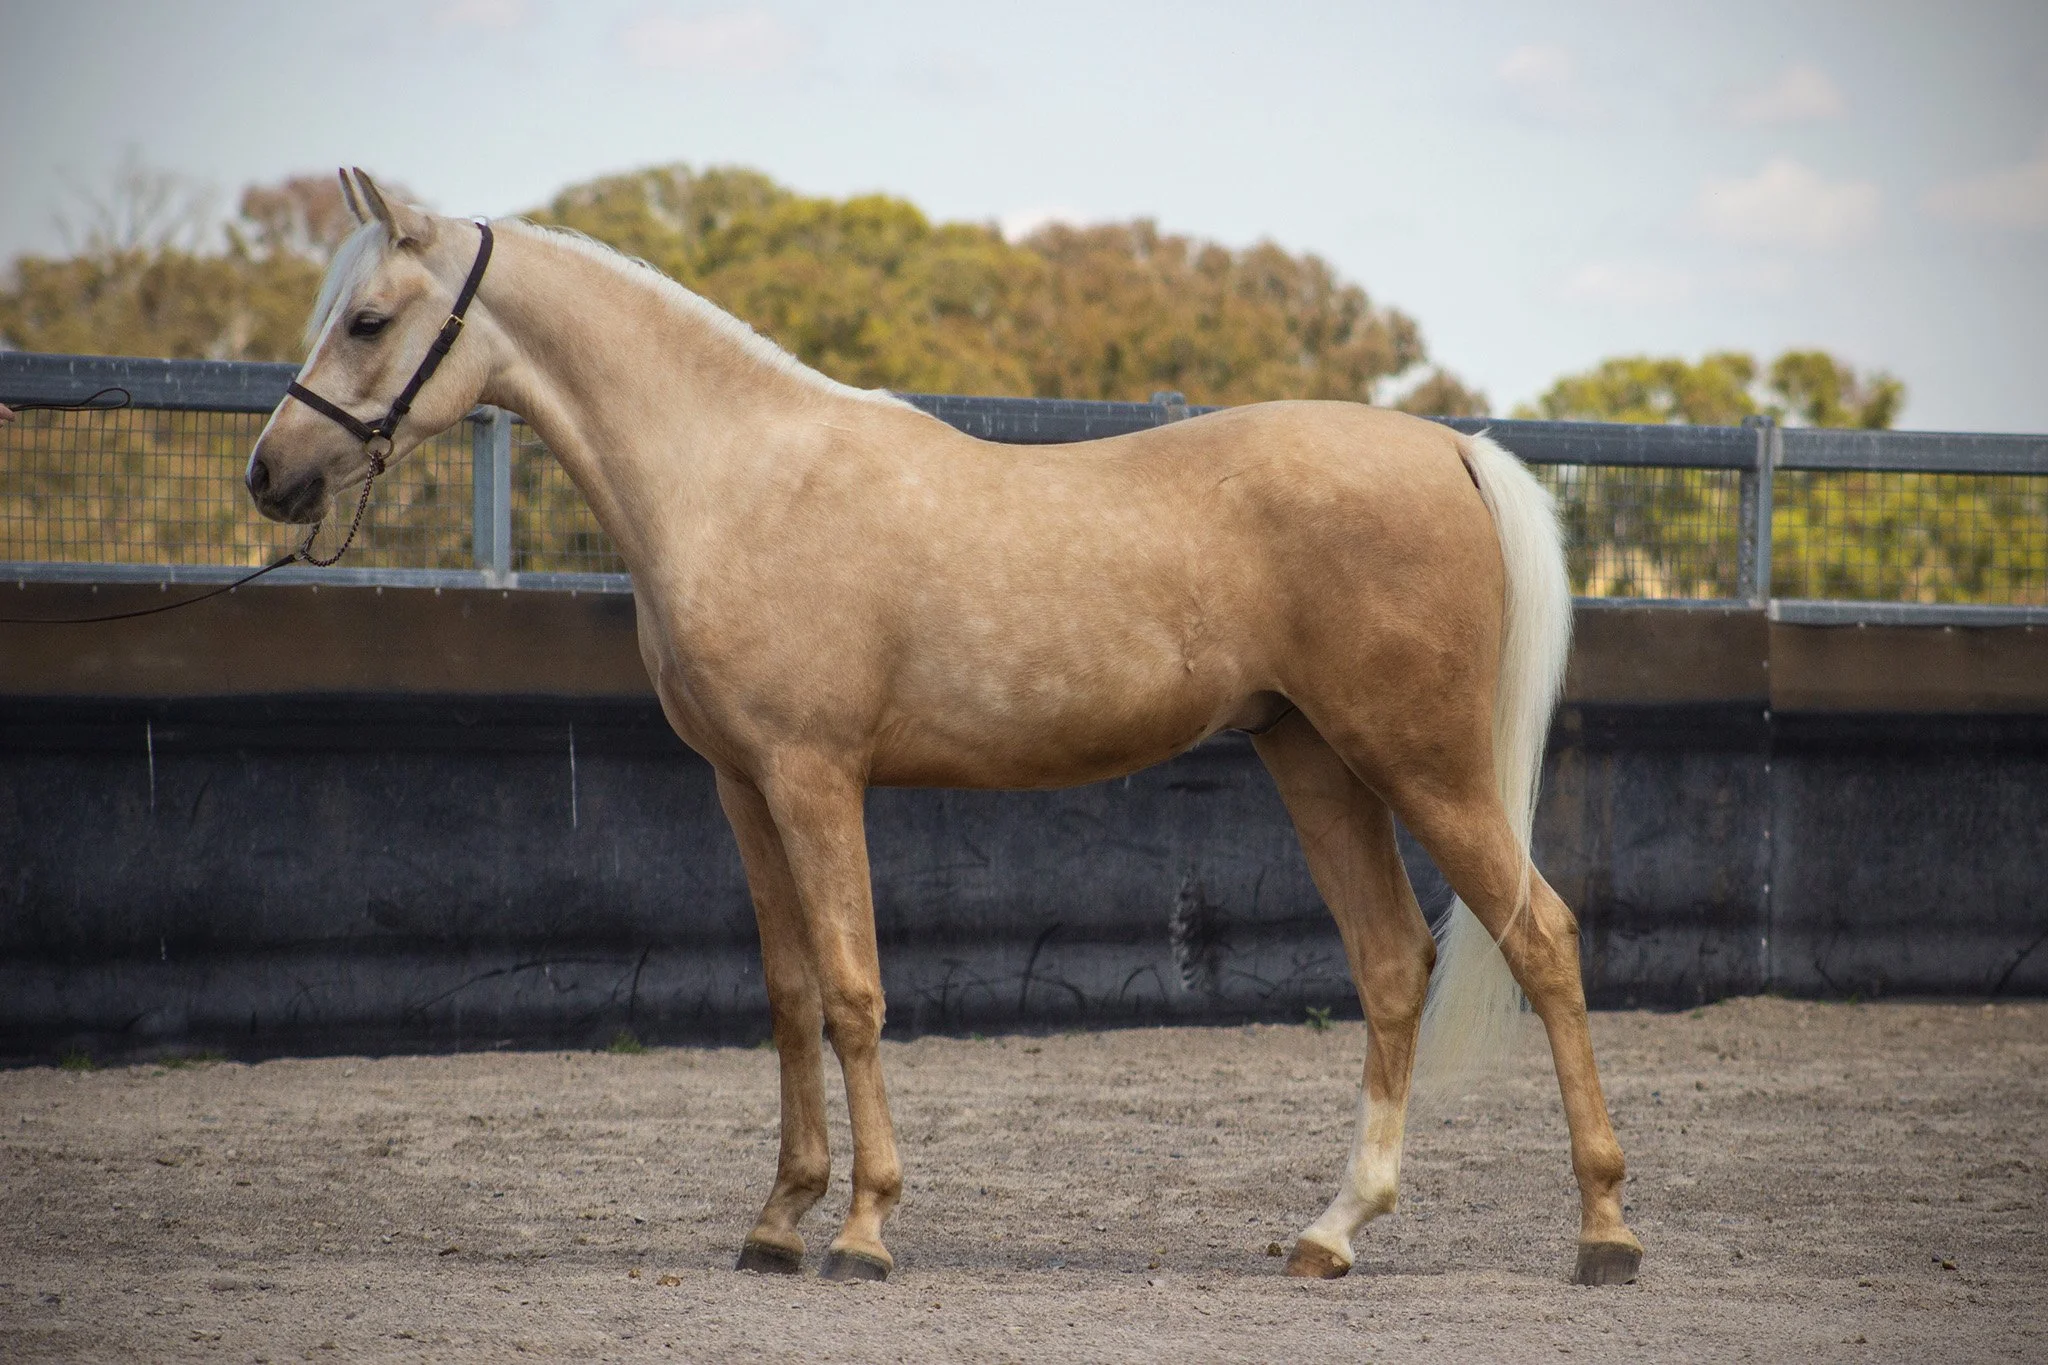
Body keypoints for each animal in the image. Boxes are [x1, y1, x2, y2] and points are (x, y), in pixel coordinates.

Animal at [245, 169, 1642, 1287]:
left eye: (369, 320)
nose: (271, 475)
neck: (739, 476)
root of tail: (1452, 453)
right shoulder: (743, 789)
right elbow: (787, 996)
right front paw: (777, 1221)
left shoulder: (815, 778)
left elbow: (854, 991)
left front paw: (862, 1231)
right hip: (1315, 760)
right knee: (1392, 966)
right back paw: (1331, 1232)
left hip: (1422, 764)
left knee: (1543, 939)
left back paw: (1604, 1234)